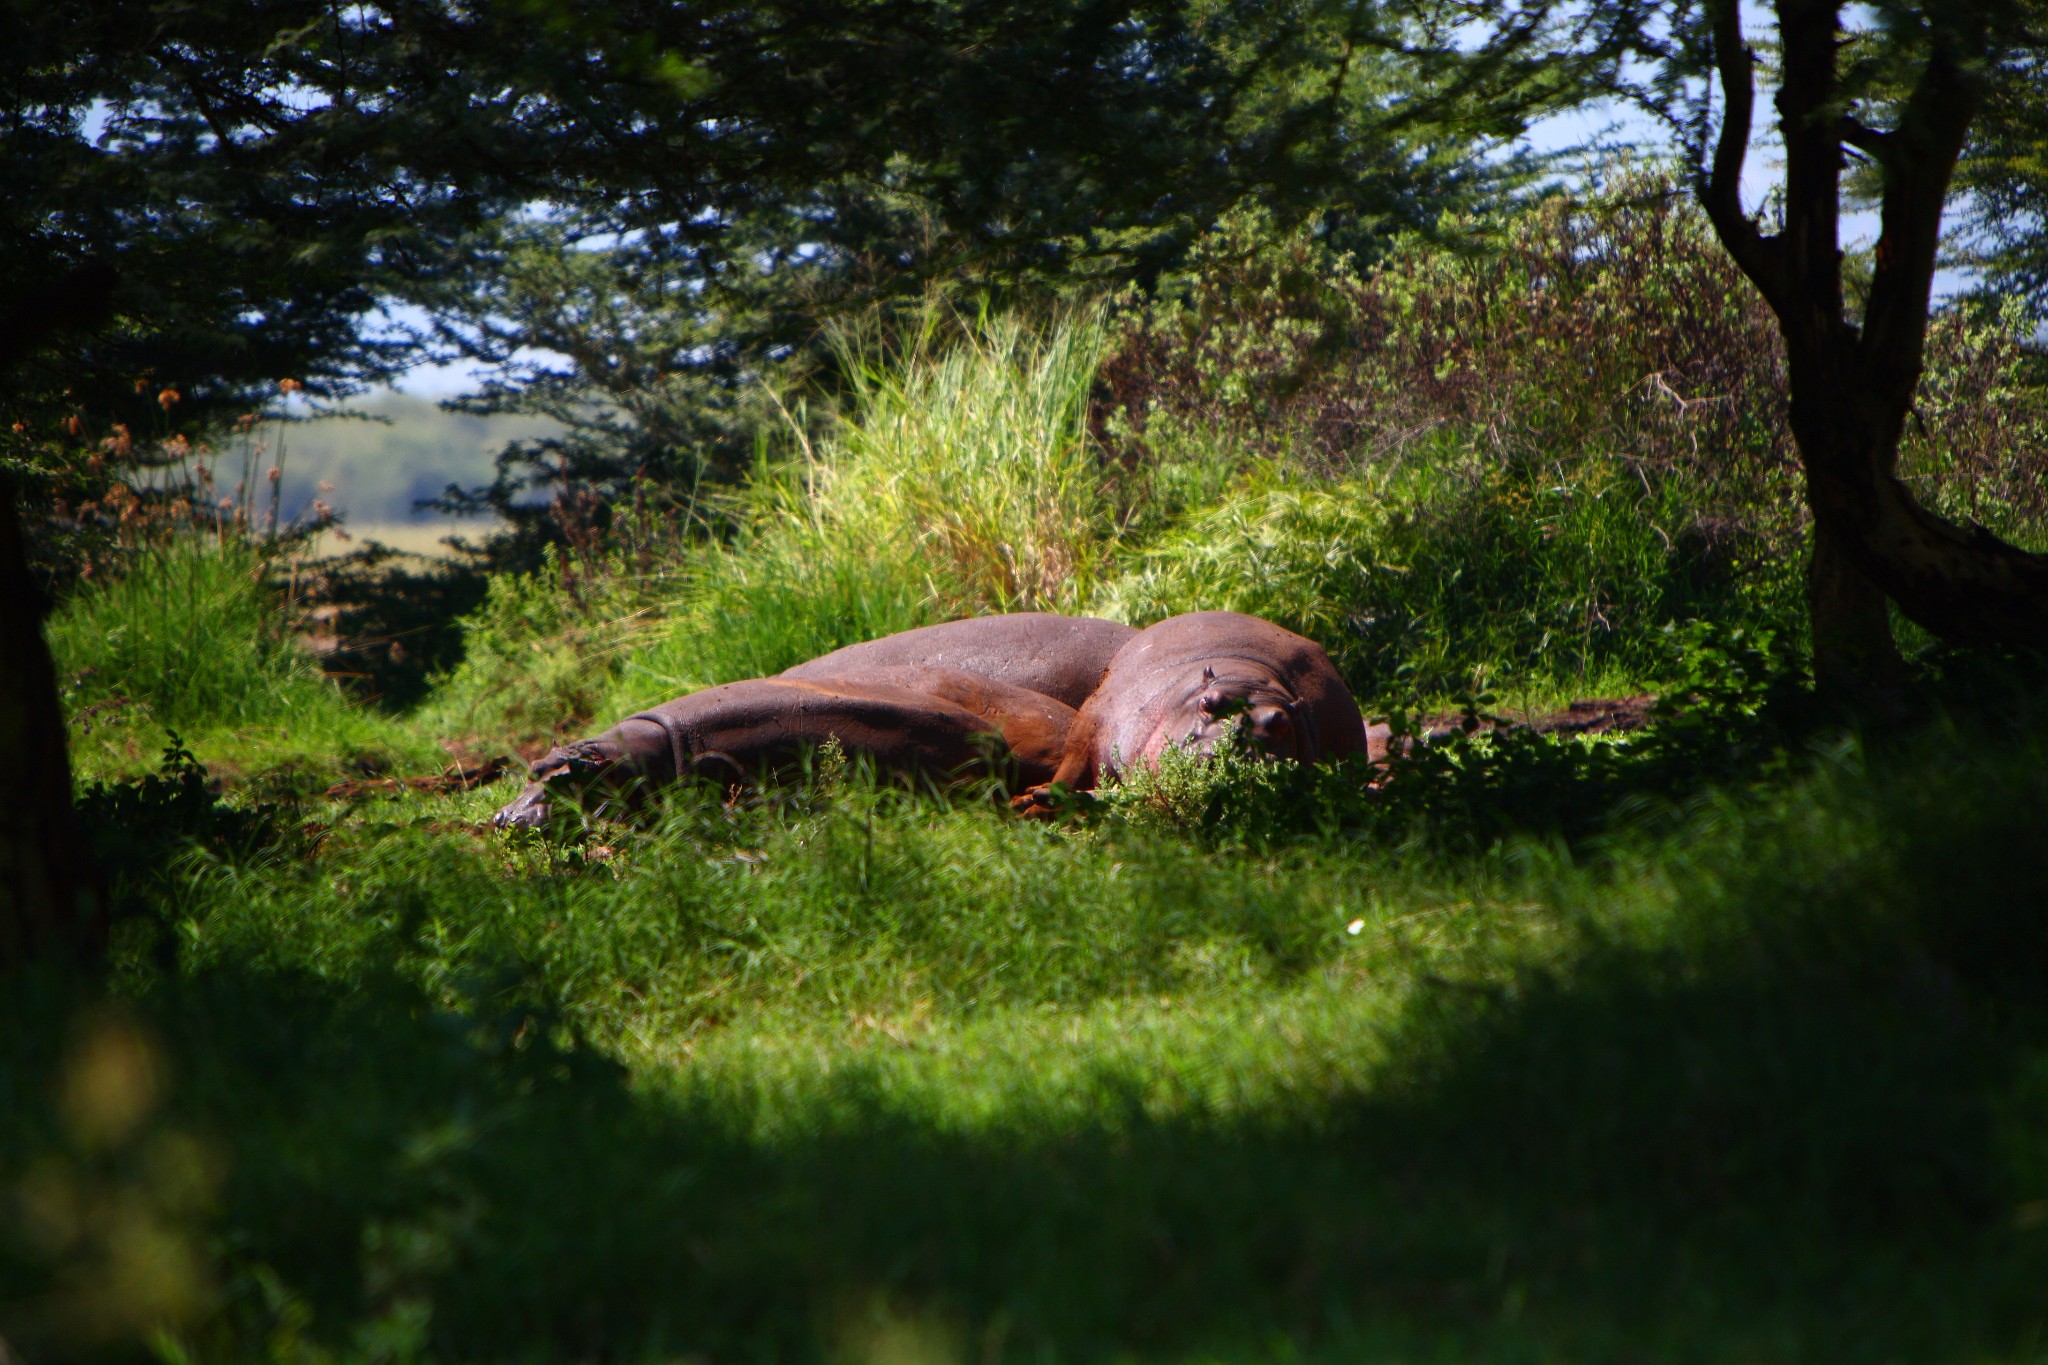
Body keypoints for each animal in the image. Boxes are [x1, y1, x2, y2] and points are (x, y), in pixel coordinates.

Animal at [1015, 613, 1368, 818]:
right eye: (1208, 702)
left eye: (1280, 723)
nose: (1227, 759)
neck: (1249, 678)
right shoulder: (1090, 726)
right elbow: (1069, 771)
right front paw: (1030, 803)